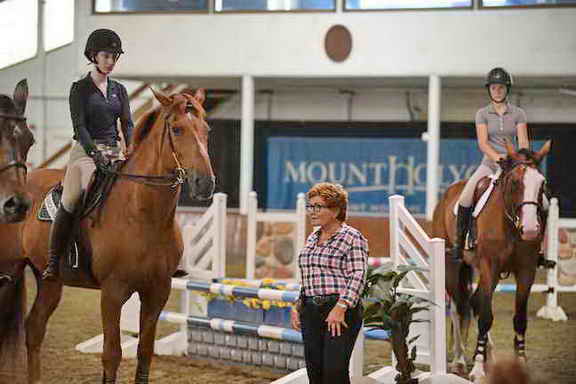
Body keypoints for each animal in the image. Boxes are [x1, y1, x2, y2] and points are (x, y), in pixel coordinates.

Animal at [1, 88, 215, 384]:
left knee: (34, 329)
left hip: (49, 281)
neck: (142, 213)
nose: (205, 184)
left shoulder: (157, 292)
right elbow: (111, 355)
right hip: (7, 271)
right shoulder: (113, 293)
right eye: (177, 129)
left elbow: (144, 354)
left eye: (206, 130)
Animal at [432, 140, 548, 382]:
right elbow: (486, 316)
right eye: (515, 182)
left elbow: (519, 318)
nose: (531, 229)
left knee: (474, 302)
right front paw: (477, 368)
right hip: (452, 266)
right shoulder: (489, 266)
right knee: (458, 307)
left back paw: (490, 358)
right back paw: (459, 360)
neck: (510, 222)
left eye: (542, 183)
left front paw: (519, 364)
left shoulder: (526, 271)